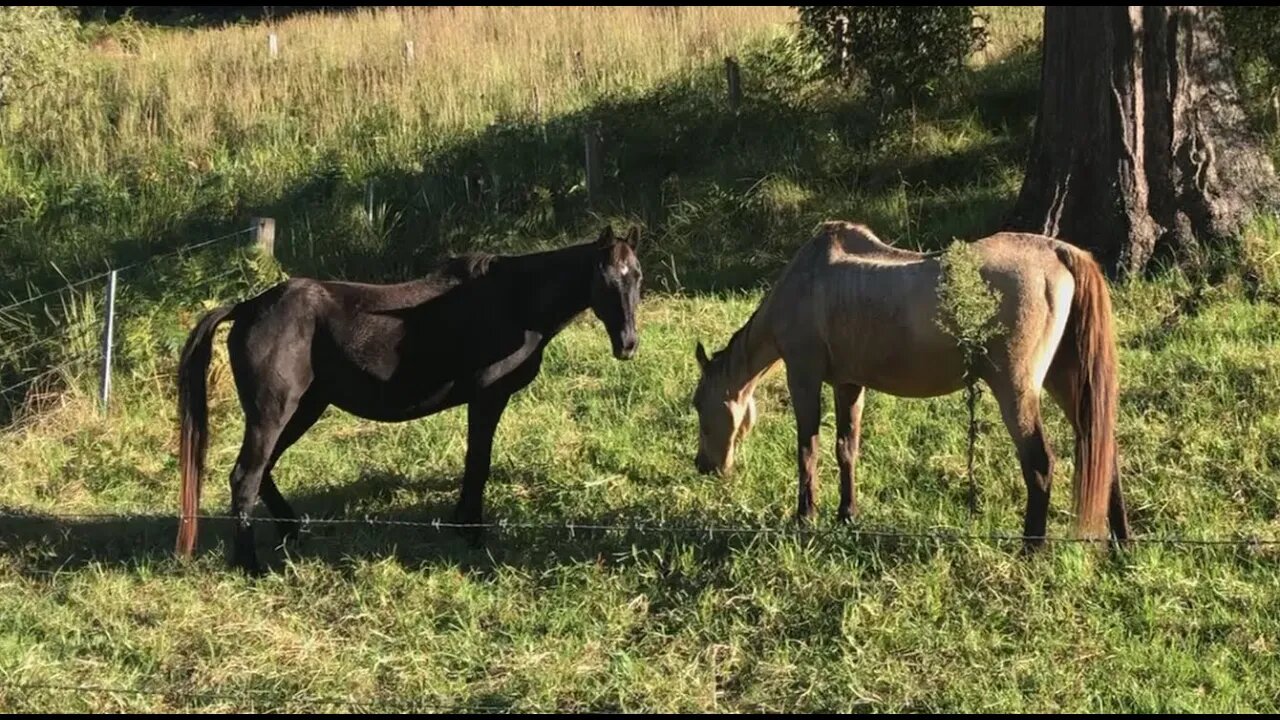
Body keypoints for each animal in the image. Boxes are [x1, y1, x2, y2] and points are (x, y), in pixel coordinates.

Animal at [175, 224, 645, 571]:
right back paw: (250, 564)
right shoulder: (487, 399)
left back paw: (291, 532)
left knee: (263, 471)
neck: (514, 301)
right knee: (245, 476)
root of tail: (248, 307)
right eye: (605, 279)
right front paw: (470, 531)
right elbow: (478, 463)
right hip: (272, 412)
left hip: (303, 409)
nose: (627, 344)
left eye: (637, 276)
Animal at [691, 219, 1131, 543]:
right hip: (1067, 382)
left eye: (698, 405)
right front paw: (846, 514)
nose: (703, 466)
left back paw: (1031, 549)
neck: (807, 279)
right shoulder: (849, 385)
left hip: (1017, 390)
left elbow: (808, 450)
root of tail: (1059, 251)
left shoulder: (804, 375)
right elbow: (846, 449)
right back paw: (1121, 540)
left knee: (1040, 463)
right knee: (1101, 448)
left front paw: (805, 516)